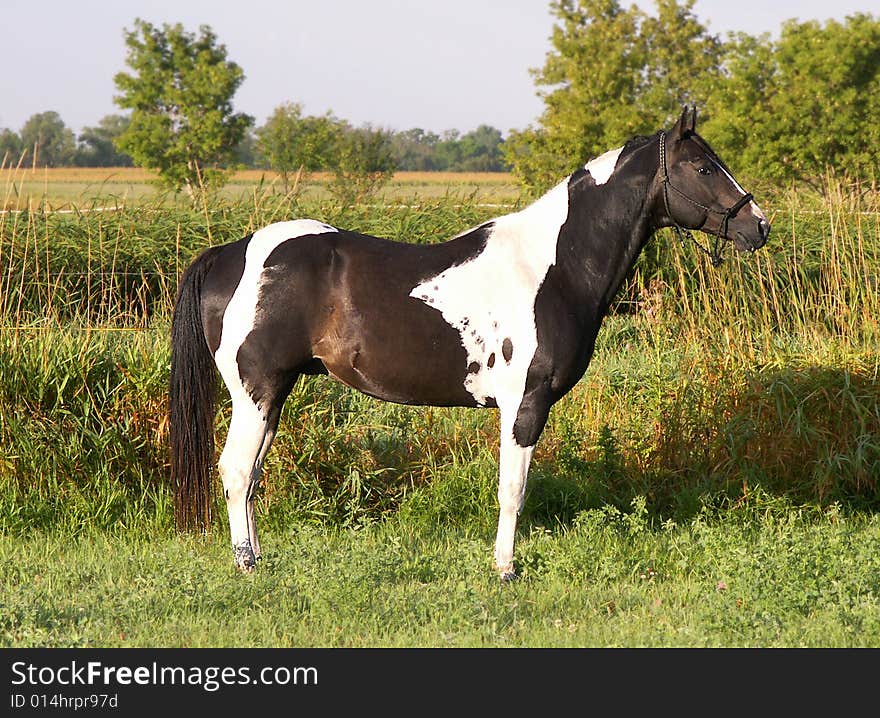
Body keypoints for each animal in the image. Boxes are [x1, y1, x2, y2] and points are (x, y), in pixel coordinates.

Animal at [167, 107, 768, 584]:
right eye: (704, 167)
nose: (758, 226)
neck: (553, 267)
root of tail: (232, 252)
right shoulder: (524, 404)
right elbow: (513, 490)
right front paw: (505, 569)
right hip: (256, 390)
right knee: (236, 471)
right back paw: (247, 565)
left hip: (274, 393)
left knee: (249, 477)